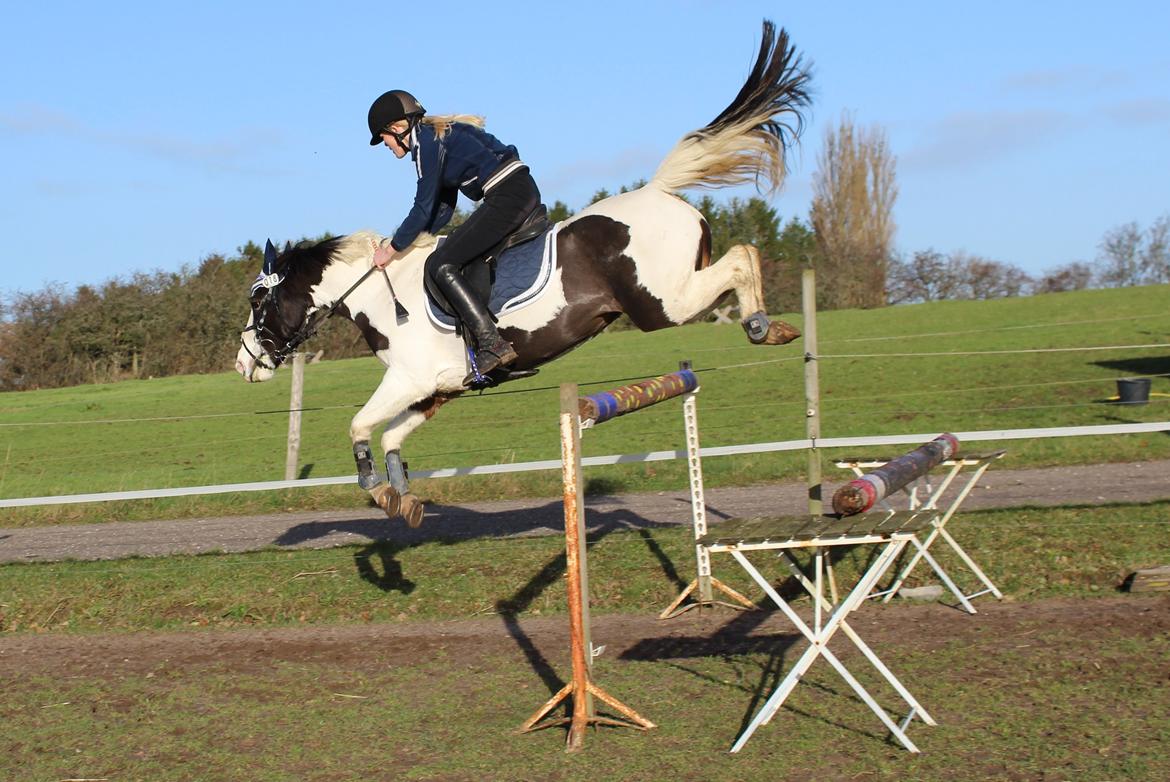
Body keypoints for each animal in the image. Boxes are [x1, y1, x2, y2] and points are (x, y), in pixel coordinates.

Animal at [235, 21, 812, 527]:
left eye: (259, 302)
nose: (244, 366)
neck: (380, 296)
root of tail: (659, 190)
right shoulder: (438, 389)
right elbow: (393, 439)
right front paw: (400, 498)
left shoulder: (408, 379)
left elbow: (358, 424)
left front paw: (375, 489)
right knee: (744, 253)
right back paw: (772, 326)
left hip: (663, 303)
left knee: (740, 256)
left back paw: (763, 326)